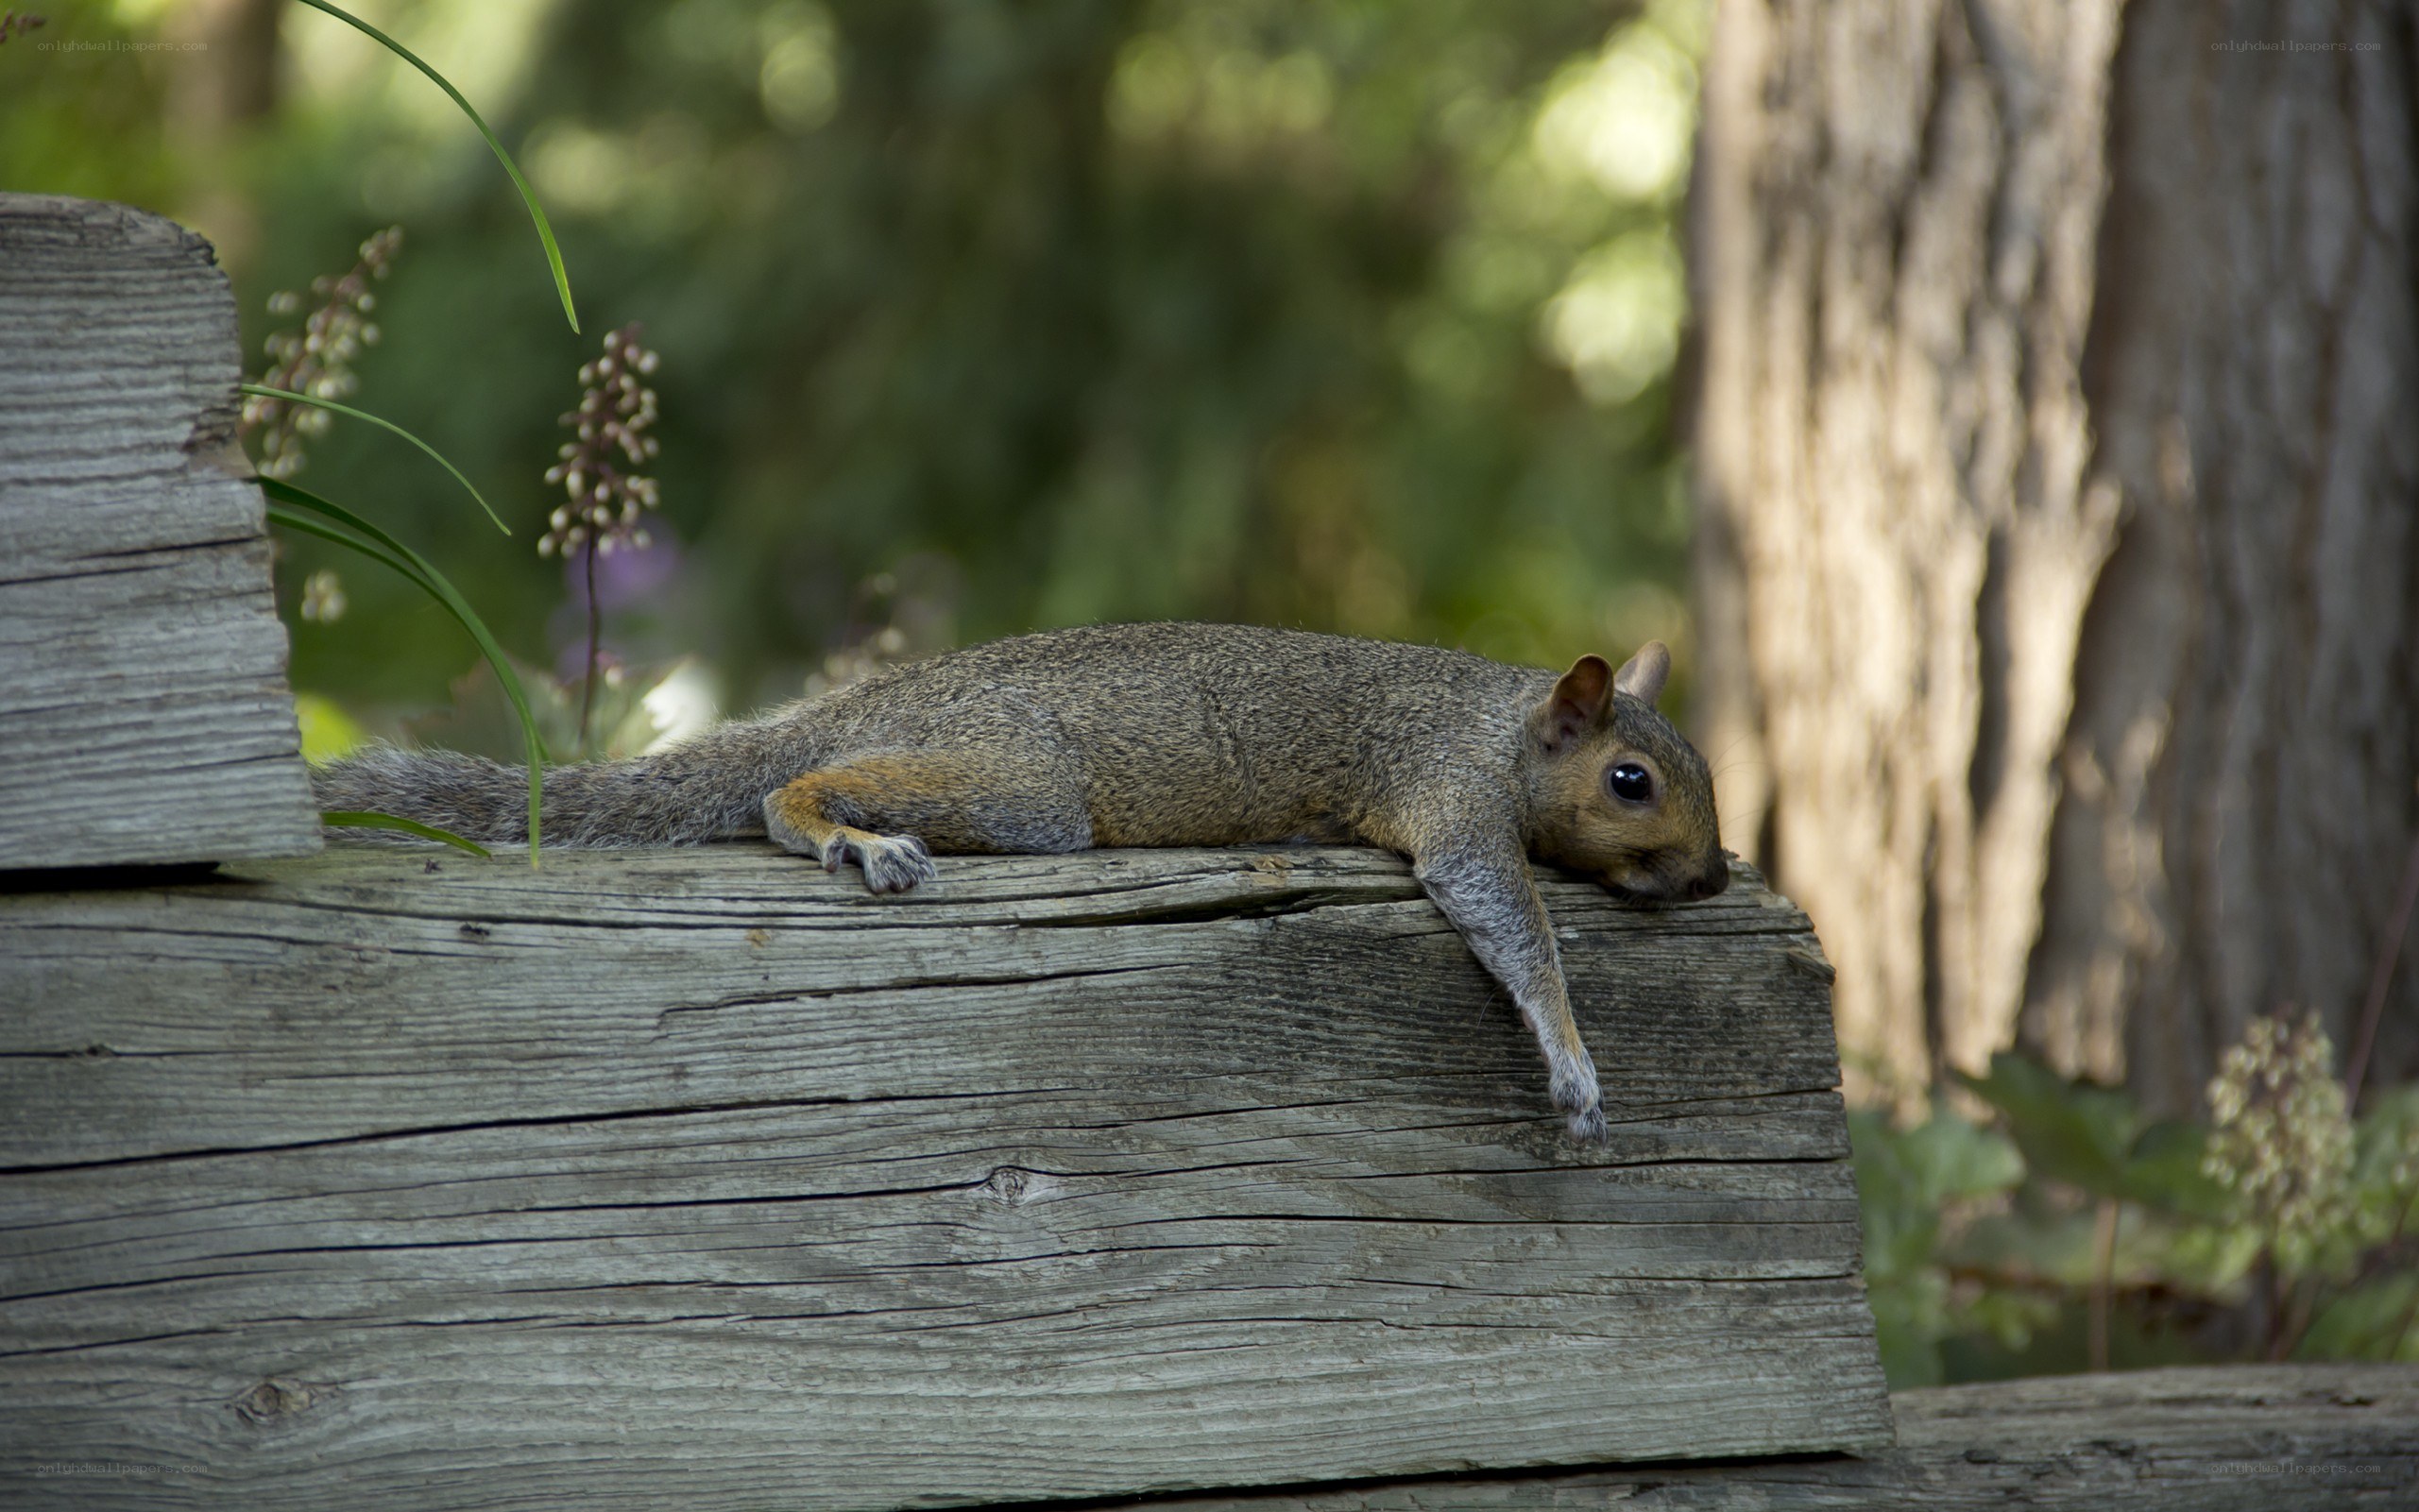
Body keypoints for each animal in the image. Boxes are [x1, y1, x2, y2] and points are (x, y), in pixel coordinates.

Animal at [314, 622, 1728, 1139]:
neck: (1498, 725)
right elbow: (1504, 915)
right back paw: (846, 834)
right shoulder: (1451, 799)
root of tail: (874, 698)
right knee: (786, 792)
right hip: (1021, 784)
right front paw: (1572, 1058)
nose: (1715, 878)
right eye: (1629, 782)